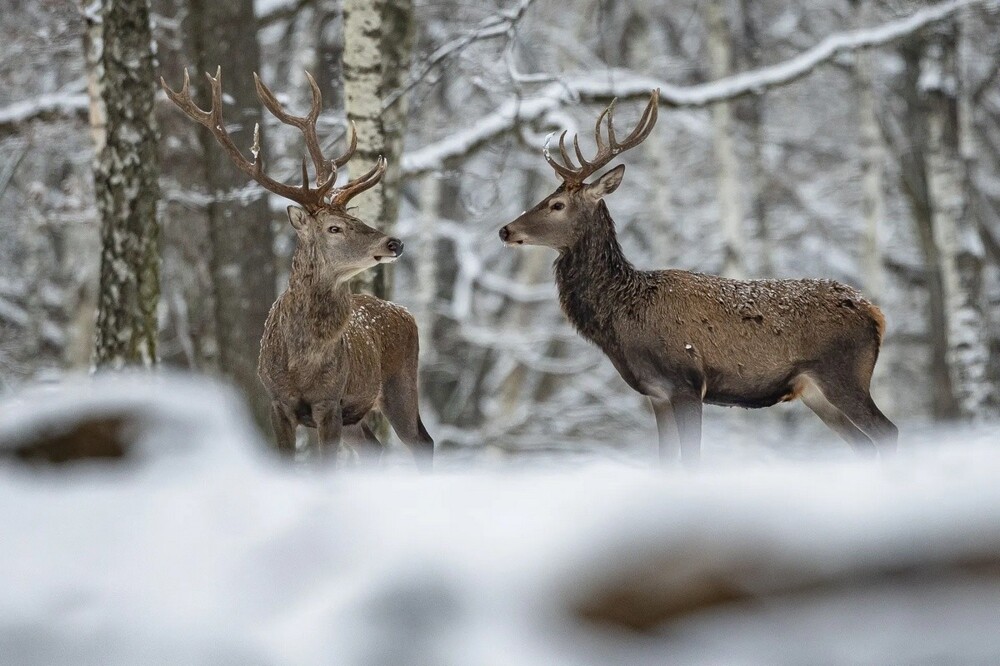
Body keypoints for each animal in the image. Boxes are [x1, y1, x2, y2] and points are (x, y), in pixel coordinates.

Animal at [162, 65, 432, 464]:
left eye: (356, 219)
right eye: (335, 227)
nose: (394, 243)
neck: (301, 364)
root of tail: (406, 313)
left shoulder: (330, 401)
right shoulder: (277, 401)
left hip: (401, 381)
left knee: (422, 442)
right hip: (364, 411)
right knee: (379, 449)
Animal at [500, 89, 900, 462]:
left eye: (557, 204)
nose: (505, 230)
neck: (625, 316)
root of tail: (875, 313)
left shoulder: (686, 382)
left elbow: (692, 460)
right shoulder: (656, 394)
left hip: (843, 374)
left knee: (888, 432)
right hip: (815, 392)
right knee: (864, 445)